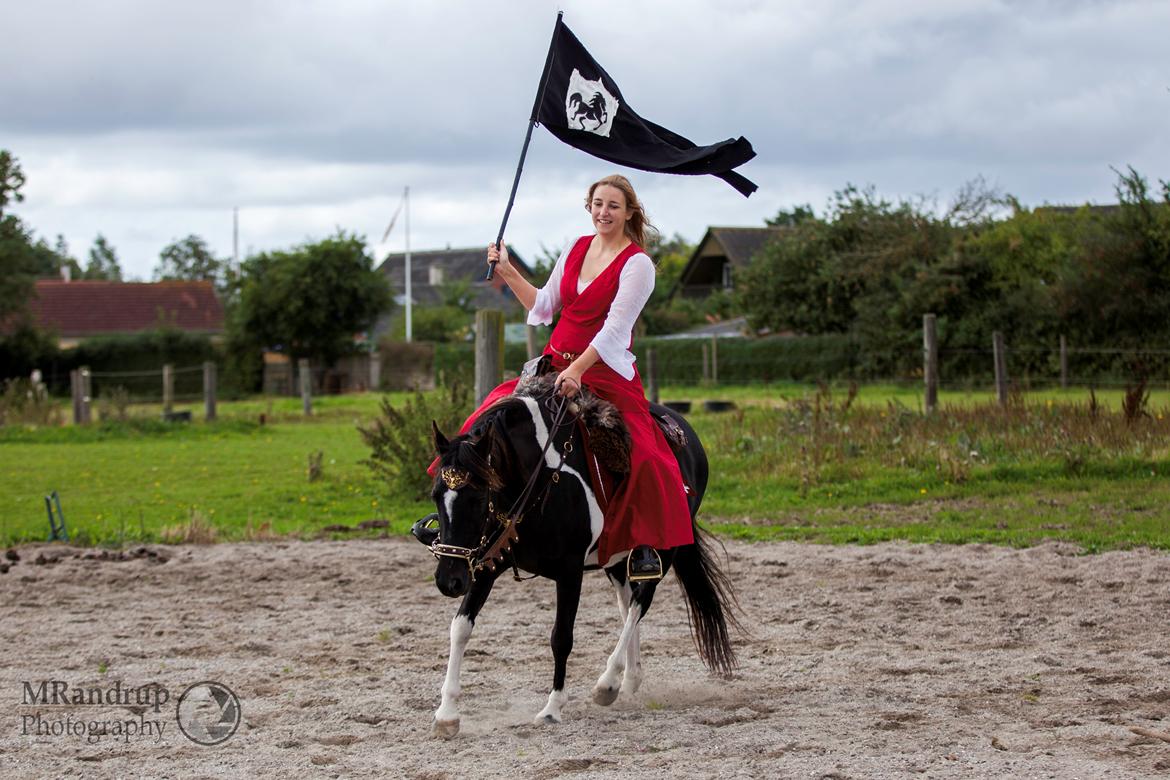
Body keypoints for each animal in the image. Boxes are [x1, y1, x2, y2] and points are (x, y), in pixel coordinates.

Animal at [416, 376, 734, 739]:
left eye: (479, 497)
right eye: (436, 494)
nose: (449, 580)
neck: (537, 478)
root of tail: (686, 433)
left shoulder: (569, 572)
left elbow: (561, 637)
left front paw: (552, 708)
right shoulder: (486, 566)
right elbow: (460, 628)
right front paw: (446, 714)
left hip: (663, 552)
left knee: (640, 602)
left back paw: (608, 684)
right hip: (615, 560)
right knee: (628, 604)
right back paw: (629, 679)